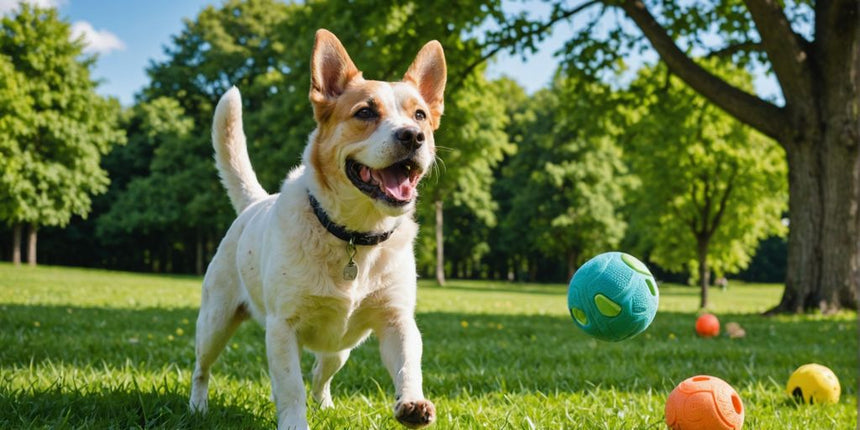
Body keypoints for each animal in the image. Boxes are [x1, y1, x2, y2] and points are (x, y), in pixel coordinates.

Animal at [191, 28, 446, 428]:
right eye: (365, 112)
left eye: (419, 115)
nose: (413, 136)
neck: (355, 235)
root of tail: (255, 202)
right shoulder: (282, 327)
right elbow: (290, 388)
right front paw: (294, 422)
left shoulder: (396, 320)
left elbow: (408, 364)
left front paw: (412, 403)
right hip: (215, 322)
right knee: (202, 368)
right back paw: (197, 406)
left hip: (340, 348)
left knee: (319, 374)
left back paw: (325, 404)